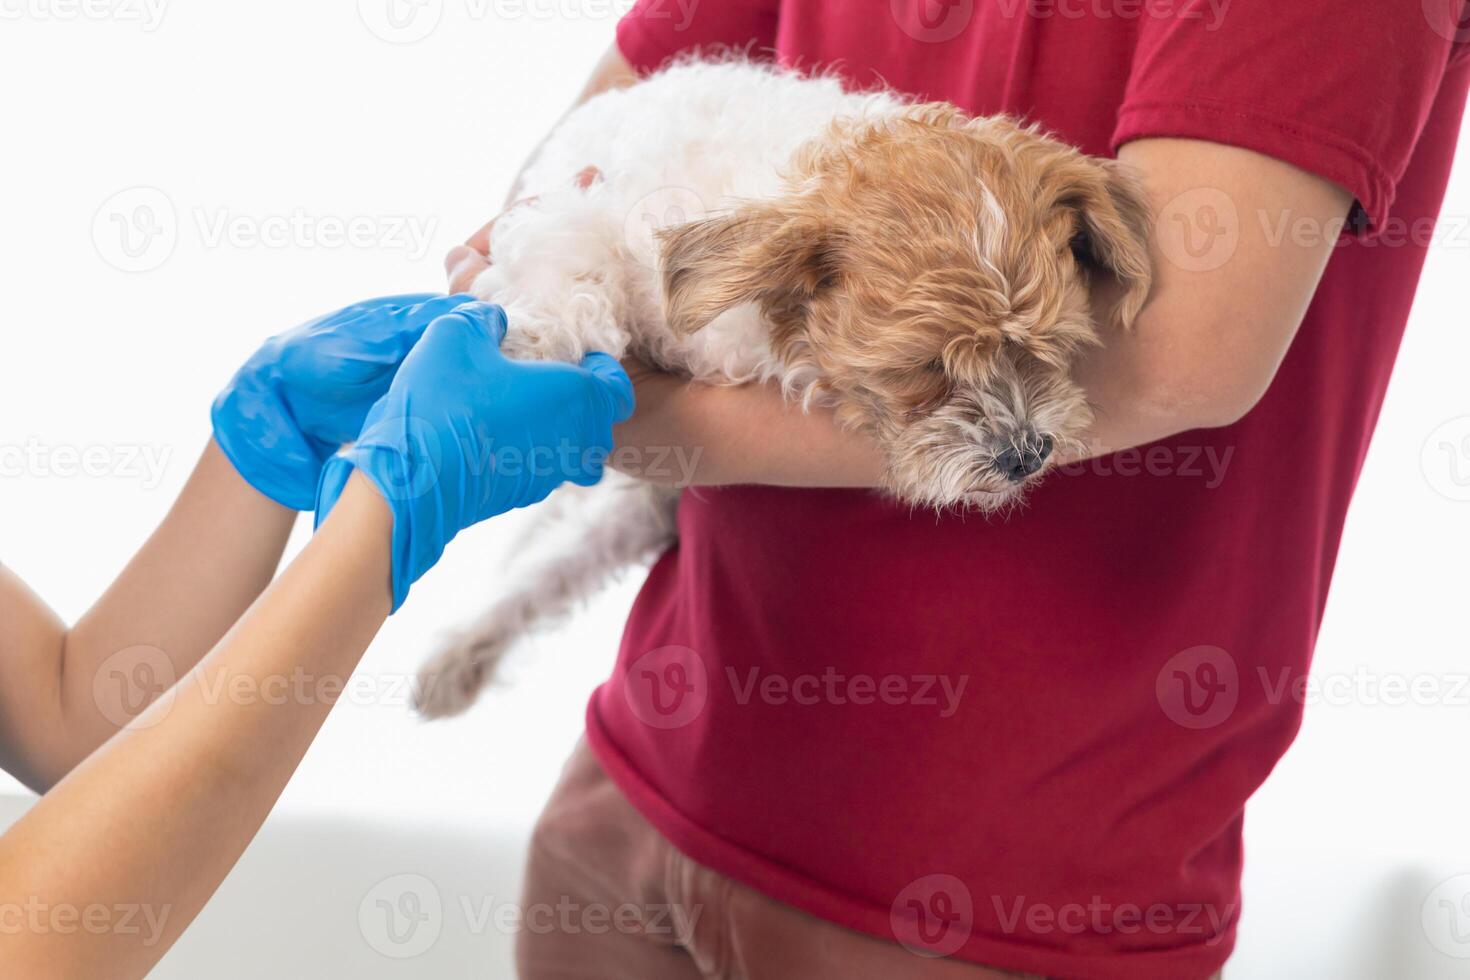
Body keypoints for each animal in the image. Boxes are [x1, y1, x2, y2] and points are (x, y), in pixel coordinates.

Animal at [411, 59, 1146, 719]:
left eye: (1048, 346)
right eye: (924, 369)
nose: (1026, 453)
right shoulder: (583, 211)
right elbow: (571, 273)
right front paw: (526, 348)